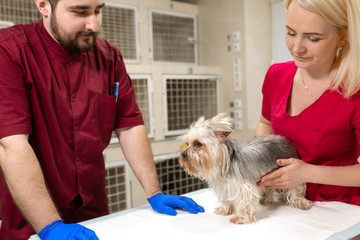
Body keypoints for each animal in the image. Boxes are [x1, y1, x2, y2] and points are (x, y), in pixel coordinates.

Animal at [179, 113, 310, 224]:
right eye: (187, 144)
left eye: (198, 144)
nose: (183, 155)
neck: (225, 164)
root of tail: (286, 141)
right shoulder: (223, 187)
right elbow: (226, 200)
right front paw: (225, 210)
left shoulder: (244, 189)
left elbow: (244, 203)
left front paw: (240, 218)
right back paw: (266, 200)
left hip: (291, 172)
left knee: (297, 189)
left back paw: (301, 203)